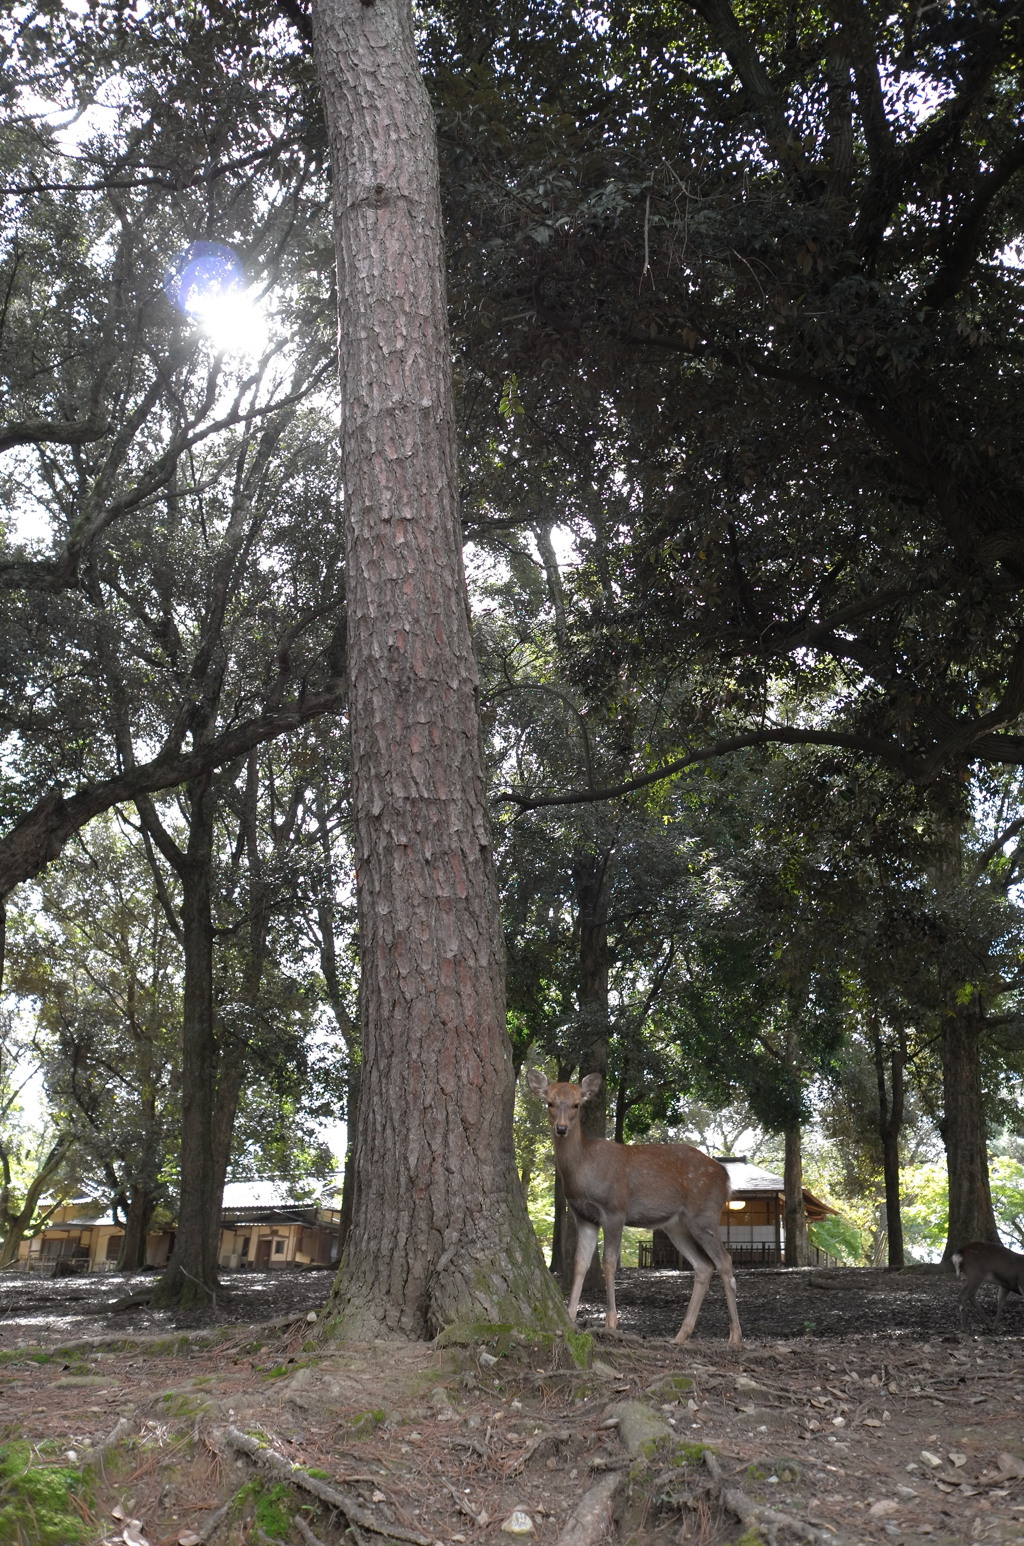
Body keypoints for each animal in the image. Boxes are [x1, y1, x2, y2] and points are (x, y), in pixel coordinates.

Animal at [532, 1069, 742, 1348]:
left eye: (577, 1104)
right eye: (549, 1102)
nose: (562, 1128)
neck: (583, 1168)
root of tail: (725, 1176)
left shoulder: (614, 1209)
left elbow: (609, 1262)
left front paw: (611, 1323)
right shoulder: (583, 1216)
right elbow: (579, 1264)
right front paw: (570, 1316)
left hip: (704, 1214)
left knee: (725, 1261)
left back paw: (735, 1335)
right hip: (676, 1225)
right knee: (704, 1266)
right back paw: (680, 1335)